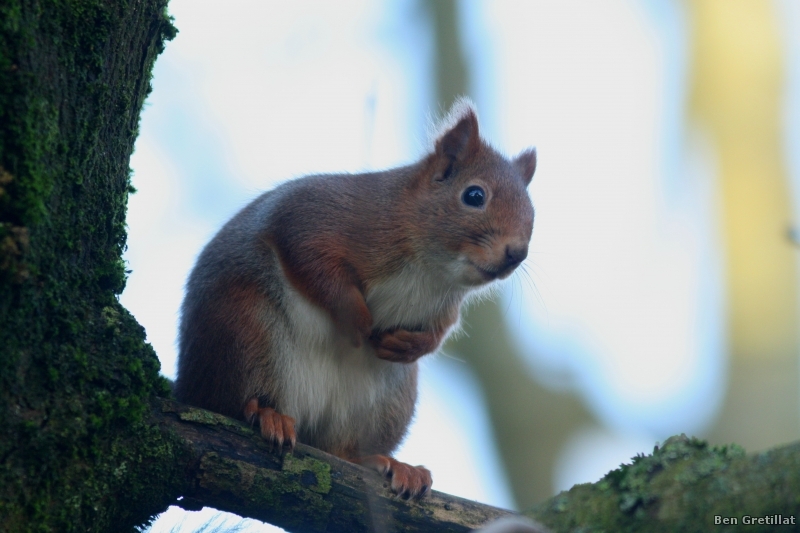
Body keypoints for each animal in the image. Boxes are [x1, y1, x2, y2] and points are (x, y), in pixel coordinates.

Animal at [175, 101, 536, 498]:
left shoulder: (445, 306)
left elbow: (440, 332)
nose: (516, 253)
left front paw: (412, 344)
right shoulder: (321, 217)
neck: (431, 268)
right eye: (474, 196)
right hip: (244, 329)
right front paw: (358, 319)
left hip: (387, 401)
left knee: (342, 451)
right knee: (233, 400)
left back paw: (389, 464)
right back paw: (267, 413)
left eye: (532, 211)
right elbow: (312, 262)